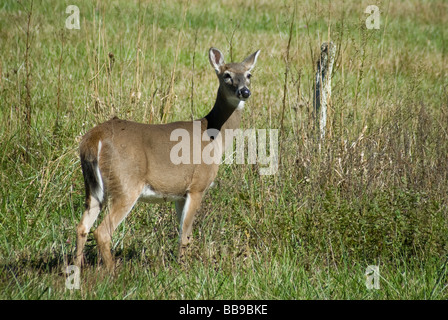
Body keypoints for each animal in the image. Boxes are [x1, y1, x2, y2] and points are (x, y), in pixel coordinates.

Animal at [75, 47, 260, 272]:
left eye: (249, 74)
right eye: (227, 75)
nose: (244, 92)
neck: (213, 136)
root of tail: (94, 140)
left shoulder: (180, 193)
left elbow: (182, 233)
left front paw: (180, 264)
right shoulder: (197, 186)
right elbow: (186, 234)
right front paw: (184, 269)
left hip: (92, 186)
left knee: (82, 227)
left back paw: (75, 270)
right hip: (126, 183)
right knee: (102, 232)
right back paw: (112, 272)